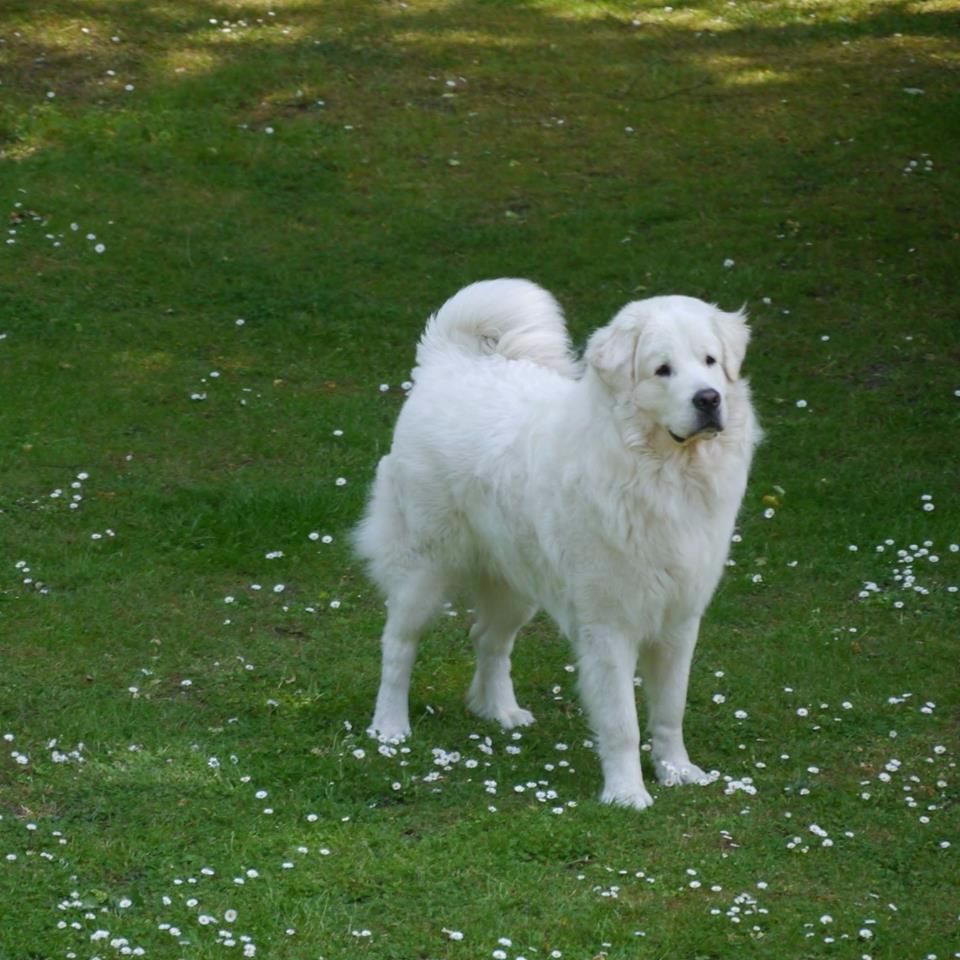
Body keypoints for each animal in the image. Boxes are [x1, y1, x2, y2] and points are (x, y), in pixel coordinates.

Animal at [352, 280, 756, 808]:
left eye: (709, 361)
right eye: (662, 370)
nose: (708, 399)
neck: (660, 474)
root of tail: (450, 362)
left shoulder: (679, 621)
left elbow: (670, 710)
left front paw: (677, 771)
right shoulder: (609, 626)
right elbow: (623, 722)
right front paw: (627, 793)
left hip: (516, 584)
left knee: (487, 640)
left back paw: (499, 712)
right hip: (425, 572)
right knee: (398, 646)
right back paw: (390, 727)